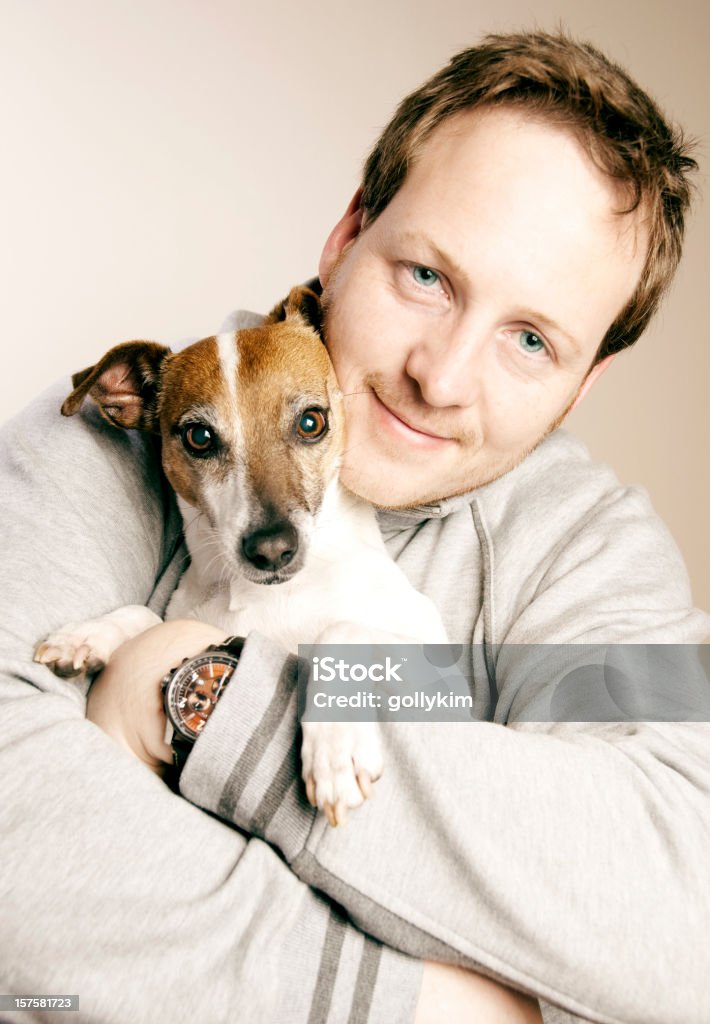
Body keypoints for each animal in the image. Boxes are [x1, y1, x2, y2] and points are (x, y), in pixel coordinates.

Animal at [36, 286, 446, 823]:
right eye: (199, 437)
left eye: (312, 422)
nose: (271, 550)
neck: (270, 598)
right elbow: (147, 617)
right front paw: (89, 636)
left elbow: (342, 630)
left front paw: (337, 748)